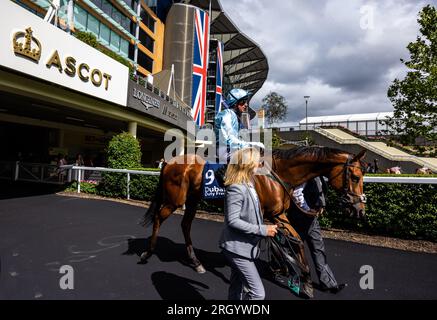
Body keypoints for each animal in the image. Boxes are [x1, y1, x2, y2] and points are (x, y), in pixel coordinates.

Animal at [139, 146, 364, 296]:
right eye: (354, 177)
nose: (359, 209)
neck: (278, 173)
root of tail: (169, 161)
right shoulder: (268, 215)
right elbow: (279, 241)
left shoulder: (278, 214)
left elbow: (297, 240)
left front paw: (305, 281)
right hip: (175, 199)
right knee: (159, 218)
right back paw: (147, 253)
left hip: (193, 199)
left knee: (185, 225)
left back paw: (196, 262)